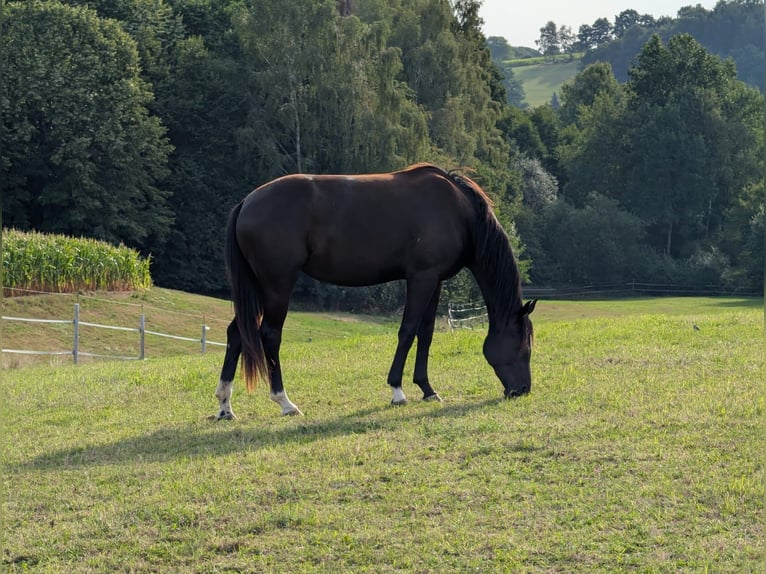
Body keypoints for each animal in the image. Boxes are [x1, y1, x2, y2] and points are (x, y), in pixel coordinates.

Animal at [214, 163, 537, 419]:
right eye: (524, 345)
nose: (522, 390)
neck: (458, 212)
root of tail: (247, 202)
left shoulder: (435, 280)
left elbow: (426, 333)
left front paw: (428, 389)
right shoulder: (421, 278)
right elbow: (407, 331)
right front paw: (397, 391)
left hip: (257, 289)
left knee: (237, 333)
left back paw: (225, 406)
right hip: (277, 286)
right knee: (269, 335)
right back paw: (285, 402)